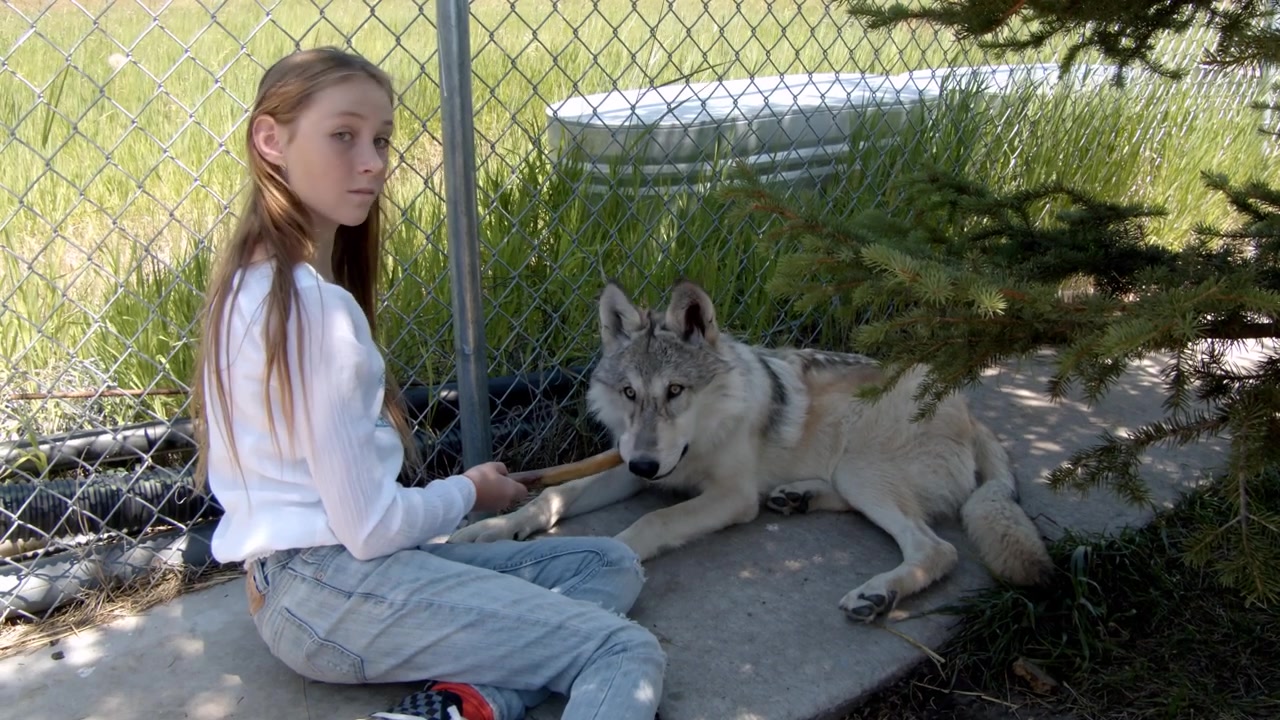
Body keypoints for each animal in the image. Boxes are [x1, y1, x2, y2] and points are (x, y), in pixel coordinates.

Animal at [448, 279, 1054, 621]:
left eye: (675, 391)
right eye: (630, 394)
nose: (645, 462)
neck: (702, 435)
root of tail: (967, 408)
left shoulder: (730, 497)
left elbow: (646, 526)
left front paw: (601, 560)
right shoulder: (631, 469)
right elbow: (553, 496)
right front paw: (491, 527)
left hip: (862, 470)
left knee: (937, 550)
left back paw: (877, 594)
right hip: (857, 479)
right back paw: (795, 498)